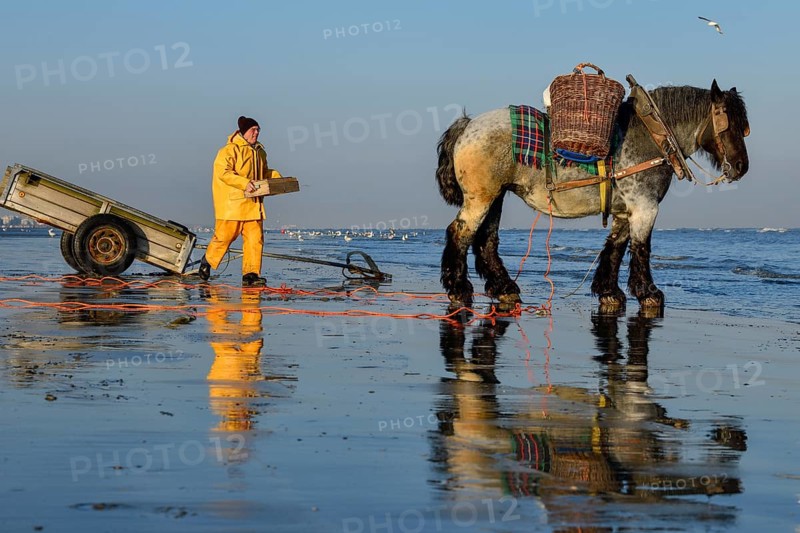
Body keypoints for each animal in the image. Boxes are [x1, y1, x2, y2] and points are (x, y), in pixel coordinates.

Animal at [436, 80, 750, 311]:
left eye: (744, 127)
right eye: (727, 122)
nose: (741, 167)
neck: (653, 135)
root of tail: (467, 124)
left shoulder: (626, 209)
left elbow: (615, 248)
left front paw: (609, 291)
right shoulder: (645, 207)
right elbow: (642, 249)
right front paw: (648, 293)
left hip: (495, 196)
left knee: (486, 241)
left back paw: (505, 288)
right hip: (480, 198)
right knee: (460, 233)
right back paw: (458, 289)